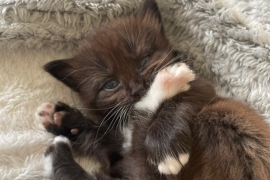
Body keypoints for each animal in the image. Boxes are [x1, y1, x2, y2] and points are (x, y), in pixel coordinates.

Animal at [37, 0, 270, 179]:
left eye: (144, 61)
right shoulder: (120, 149)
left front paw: (164, 149)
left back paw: (167, 81)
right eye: (110, 84)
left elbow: (178, 102)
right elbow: (107, 137)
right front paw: (66, 121)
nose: (136, 88)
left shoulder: (203, 87)